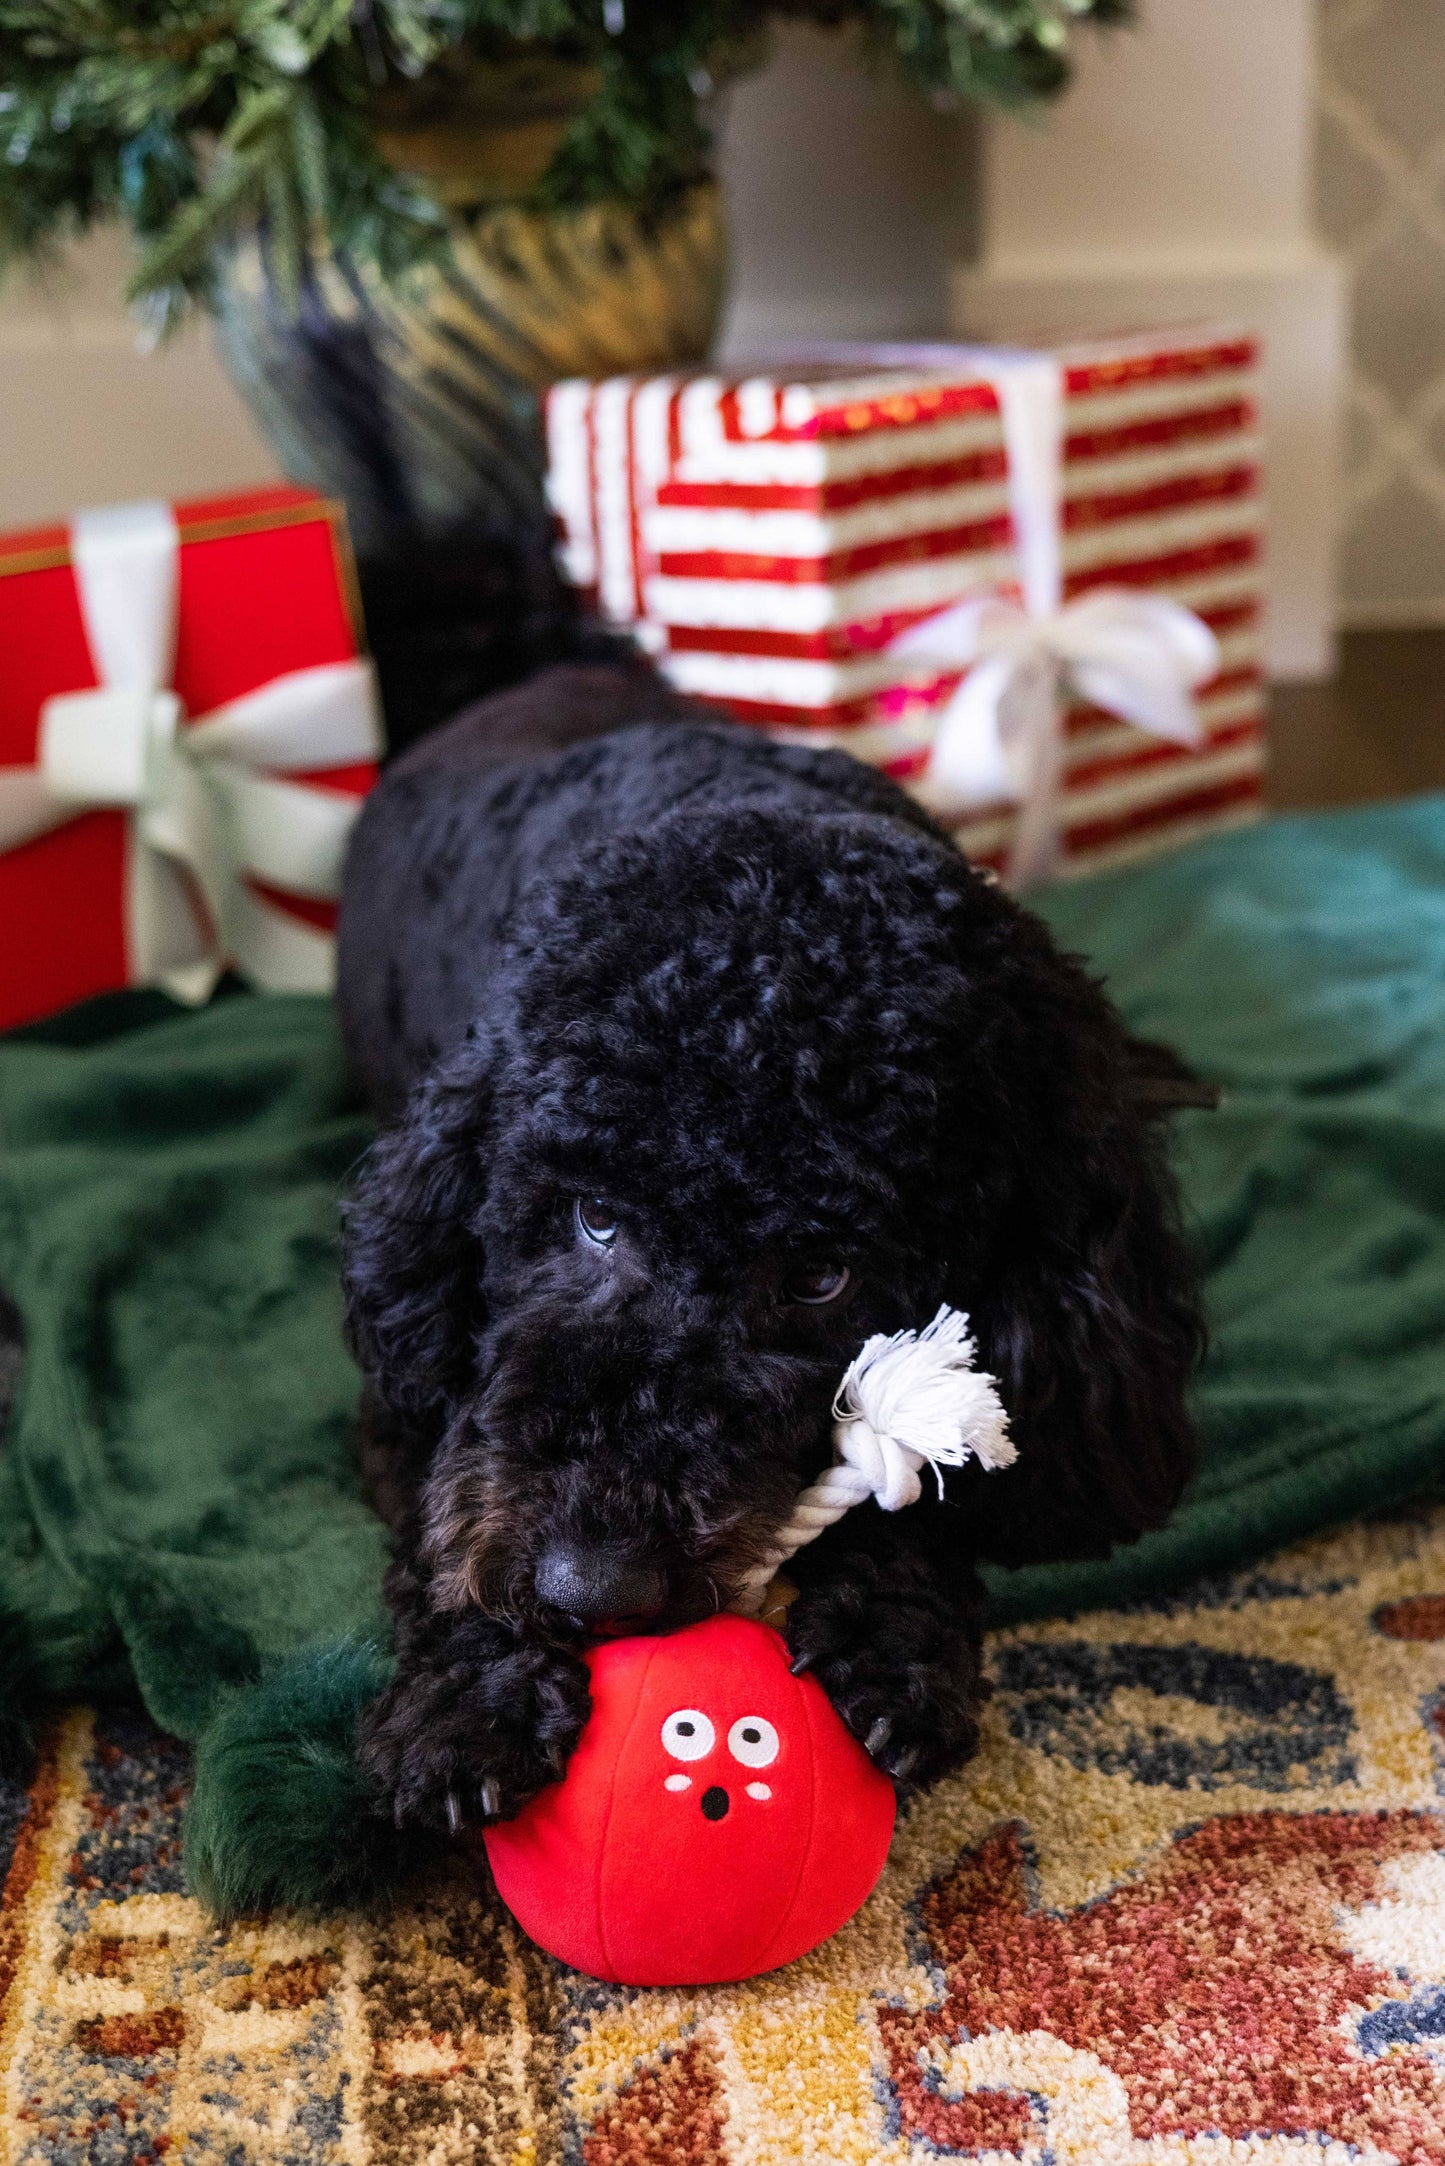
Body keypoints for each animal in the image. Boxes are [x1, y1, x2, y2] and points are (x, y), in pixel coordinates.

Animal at [333, 658, 1204, 1828]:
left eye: (822, 1277)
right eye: (593, 1217)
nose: (590, 1590)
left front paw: (890, 1637)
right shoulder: (411, 1371)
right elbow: (441, 1505)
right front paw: (468, 1700)